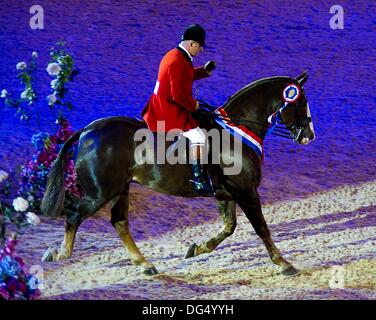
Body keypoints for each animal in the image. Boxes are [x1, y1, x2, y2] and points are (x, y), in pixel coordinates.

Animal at [40, 71, 314, 276]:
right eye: (301, 102)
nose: (309, 136)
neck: (237, 130)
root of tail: (88, 130)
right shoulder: (246, 192)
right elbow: (261, 228)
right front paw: (284, 263)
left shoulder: (225, 193)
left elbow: (229, 227)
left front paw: (197, 248)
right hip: (100, 192)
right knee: (75, 214)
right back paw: (59, 254)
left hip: (119, 189)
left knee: (119, 222)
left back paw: (145, 265)